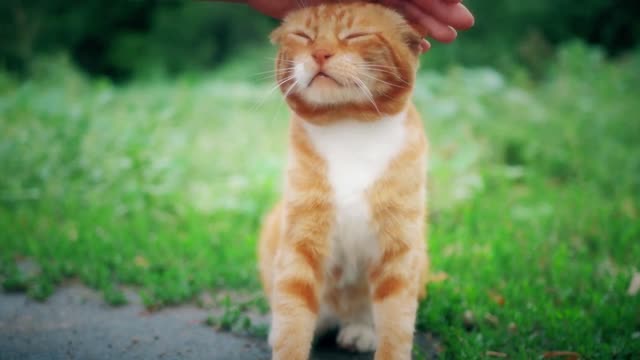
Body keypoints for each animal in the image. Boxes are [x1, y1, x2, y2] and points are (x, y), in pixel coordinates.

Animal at [258, 3, 428, 360]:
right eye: (303, 36)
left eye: (355, 35)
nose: (320, 53)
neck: (348, 126)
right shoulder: (300, 242)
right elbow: (292, 315)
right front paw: (286, 337)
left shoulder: (399, 250)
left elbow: (396, 323)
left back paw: (360, 331)